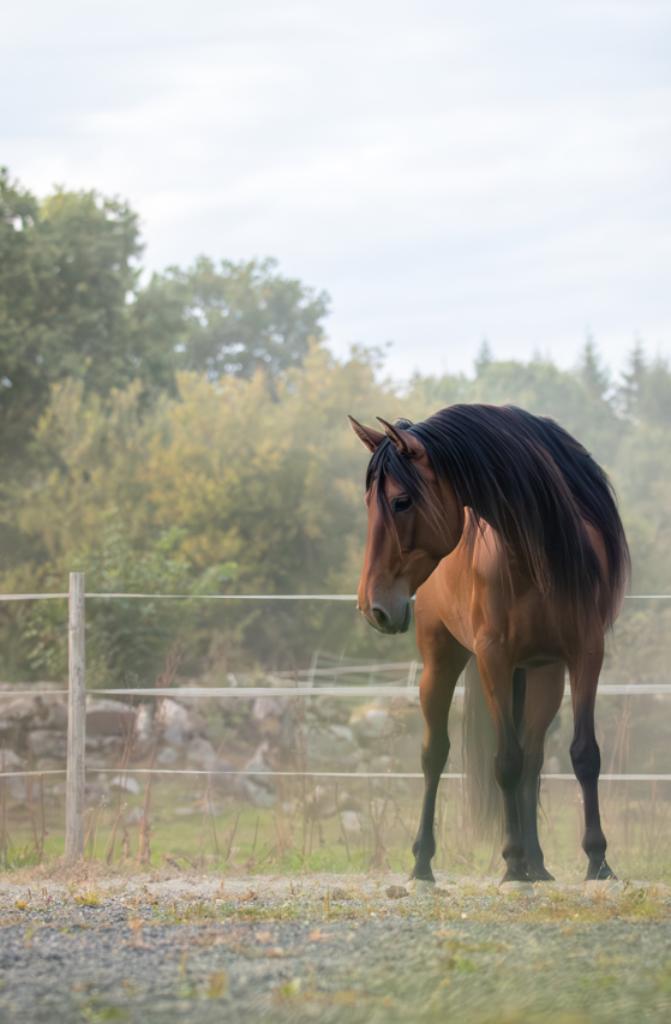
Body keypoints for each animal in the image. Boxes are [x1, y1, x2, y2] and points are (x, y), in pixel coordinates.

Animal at [349, 404, 630, 883]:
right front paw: (512, 863)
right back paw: (423, 863)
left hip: (543, 673)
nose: (373, 607)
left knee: (534, 756)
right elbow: (506, 762)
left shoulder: (586, 655)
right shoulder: (493, 659)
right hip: (441, 663)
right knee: (435, 755)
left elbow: (582, 754)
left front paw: (597, 861)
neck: (533, 554)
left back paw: (538, 864)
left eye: (402, 501)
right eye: (369, 504)